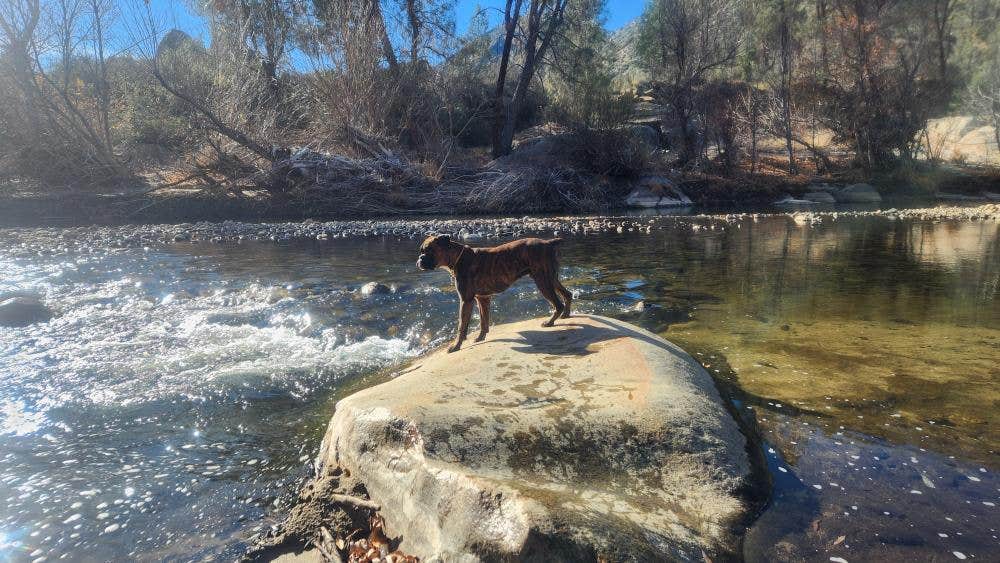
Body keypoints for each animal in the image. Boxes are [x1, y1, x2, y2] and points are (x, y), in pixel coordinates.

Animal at [414, 235, 572, 352]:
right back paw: (566, 314)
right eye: (422, 251)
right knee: (567, 294)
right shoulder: (482, 299)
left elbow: (462, 326)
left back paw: (550, 322)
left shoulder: (466, 300)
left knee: (557, 304)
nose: (420, 259)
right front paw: (480, 337)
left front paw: (456, 346)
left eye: (428, 251)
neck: (458, 257)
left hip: (543, 281)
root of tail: (547, 242)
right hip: (551, 278)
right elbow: (484, 321)